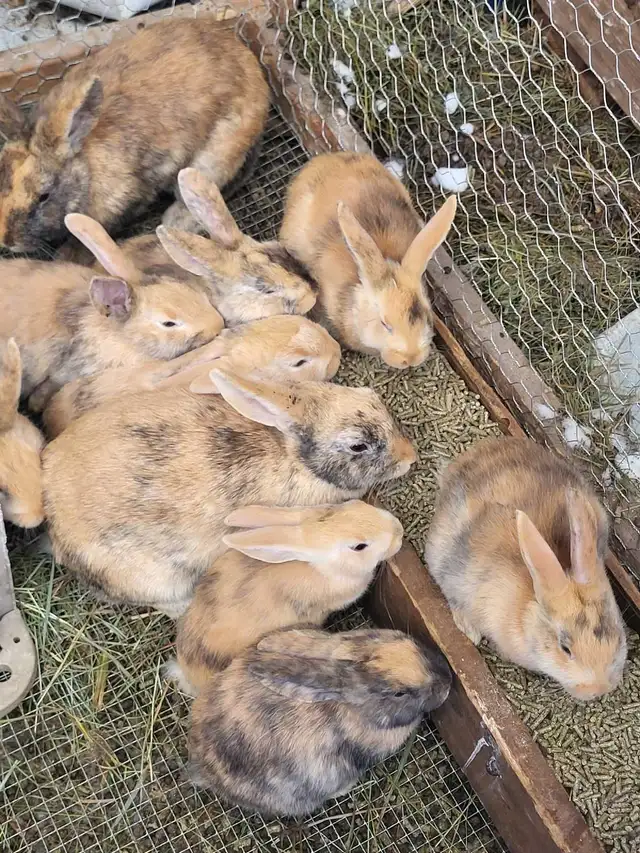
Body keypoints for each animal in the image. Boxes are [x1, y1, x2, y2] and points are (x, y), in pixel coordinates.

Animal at [42, 368, 416, 616]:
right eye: (358, 445)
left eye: (371, 395)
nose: (410, 457)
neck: (296, 458)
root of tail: (56, 528)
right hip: (155, 580)